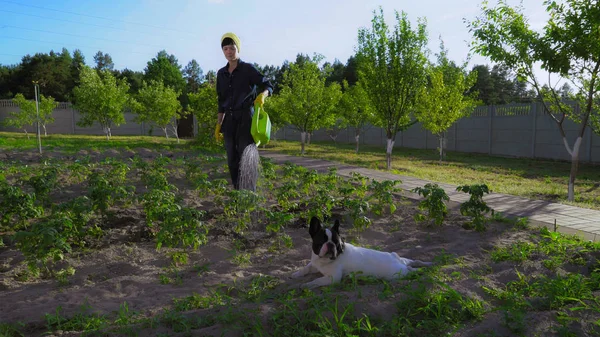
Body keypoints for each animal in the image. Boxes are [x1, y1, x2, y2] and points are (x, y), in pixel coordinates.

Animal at [292, 217, 428, 288]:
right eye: (321, 242)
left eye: (337, 243)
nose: (330, 245)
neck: (324, 260)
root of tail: (399, 262)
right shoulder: (315, 263)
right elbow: (306, 268)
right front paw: (296, 274)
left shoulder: (333, 278)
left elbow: (318, 281)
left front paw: (307, 285)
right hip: (402, 259)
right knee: (415, 261)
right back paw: (427, 264)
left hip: (397, 274)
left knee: (411, 269)